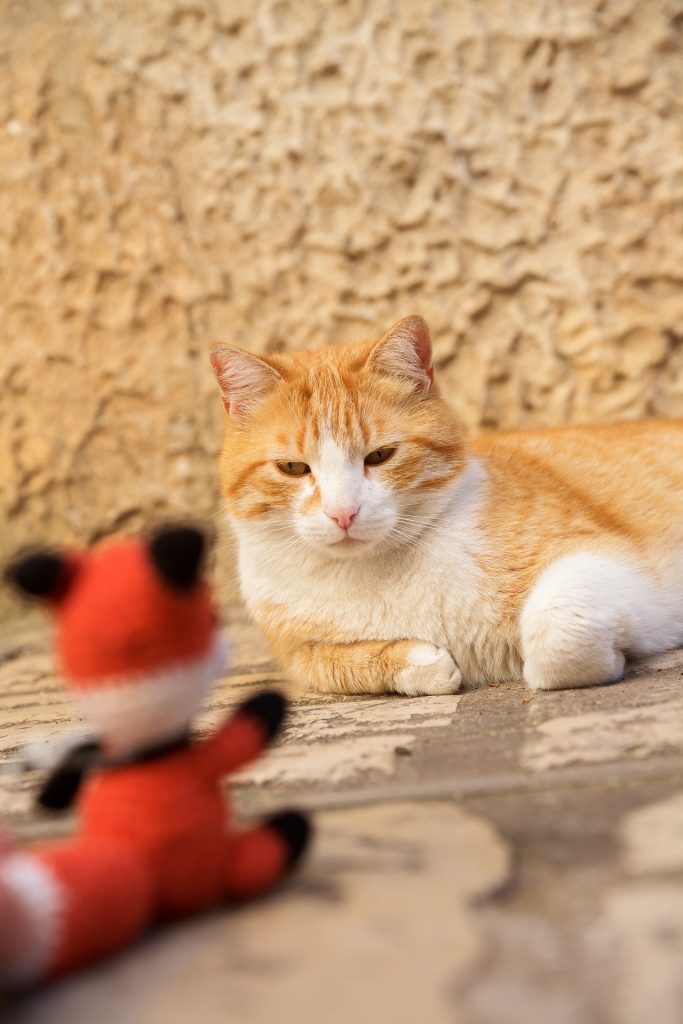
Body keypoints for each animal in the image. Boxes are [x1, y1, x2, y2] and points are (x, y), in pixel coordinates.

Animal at [210, 313, 683, 696]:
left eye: (380, 456)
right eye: (292, 467)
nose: (343, 513)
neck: (373, 576)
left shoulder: (609, 563)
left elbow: (556, 636)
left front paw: (614, 657)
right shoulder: (296, 654)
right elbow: (333, 666)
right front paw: (420, 664)